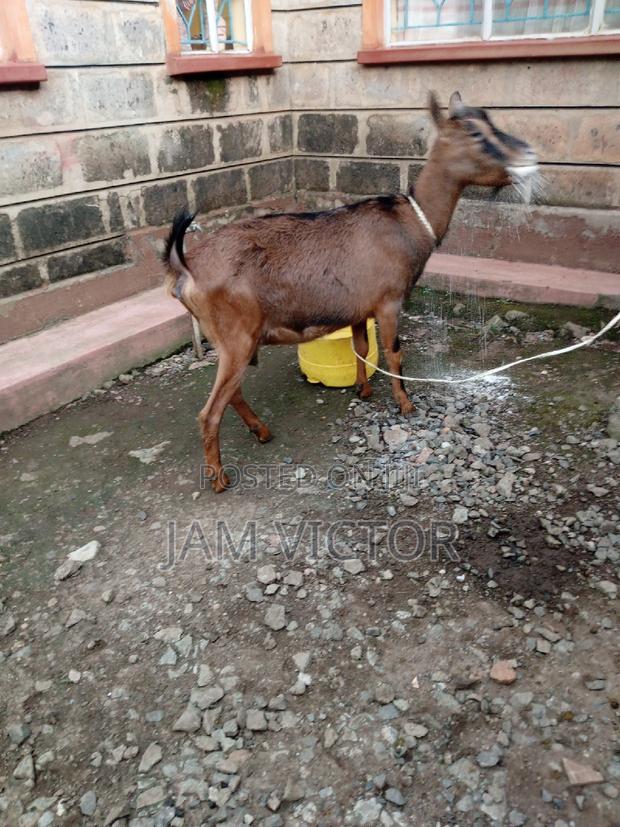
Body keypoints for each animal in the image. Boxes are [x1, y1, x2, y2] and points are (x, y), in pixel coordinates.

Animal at [164, 91, 538, 492]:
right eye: (474, 131)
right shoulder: (389, 301)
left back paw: (261, 431)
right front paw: (405, 404)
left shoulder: (360, 307)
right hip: (236, 336)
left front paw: (363, 390)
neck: (410, 221)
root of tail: (185, 268)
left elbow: (360, 347)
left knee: (231, 392)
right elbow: (393, 352)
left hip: (227, 339)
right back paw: (220, 478)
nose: (527, 155)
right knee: (210, 411)